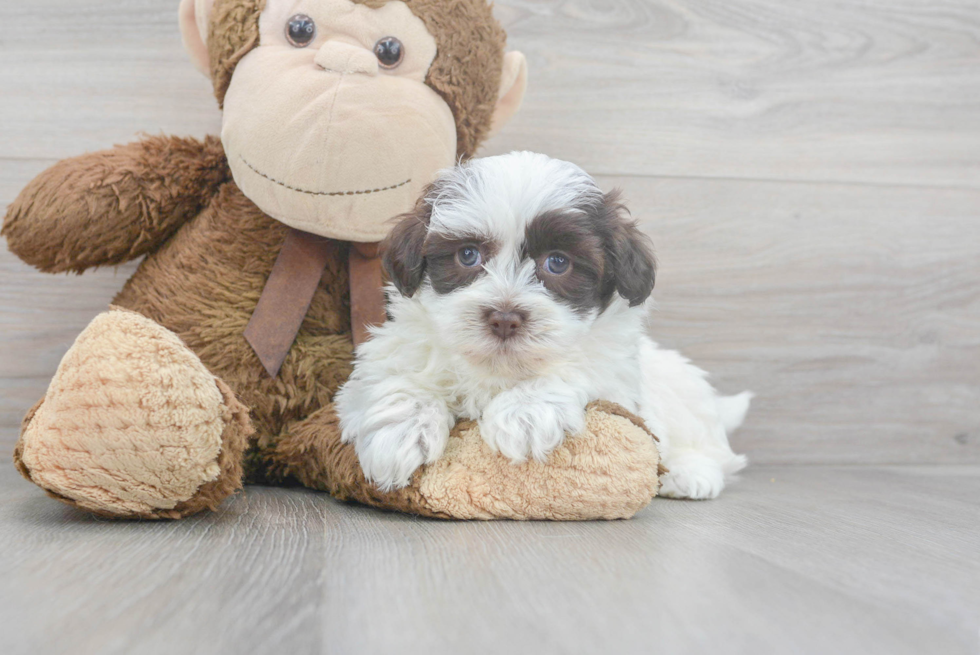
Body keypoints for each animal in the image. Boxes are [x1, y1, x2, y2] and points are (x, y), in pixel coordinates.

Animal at [336, 151, 752, 498]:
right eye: (468, 255)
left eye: (558, 262)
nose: (504, 318)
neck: (498, 368)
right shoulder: (390, 354)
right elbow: (398, 380)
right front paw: (400, 433)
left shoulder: (616, 374)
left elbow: (580, 366)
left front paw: (525, 414)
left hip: (685, 398)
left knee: (711, 448)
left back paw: (687, 474)